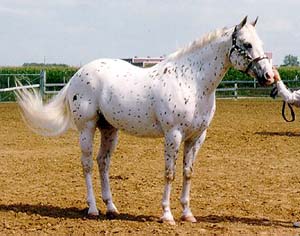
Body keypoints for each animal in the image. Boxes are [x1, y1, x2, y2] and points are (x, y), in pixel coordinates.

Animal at [15, 17, 274, 225]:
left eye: (261, 43)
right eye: (247, 44)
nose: (269, 76)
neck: (192, 81)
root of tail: (78, 74)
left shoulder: (196, 137)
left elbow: (187, 173)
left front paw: (187, 214)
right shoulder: (173, 134)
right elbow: (169, 173)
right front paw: (167, 215)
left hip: (109, 129)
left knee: (103, 163)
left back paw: (111, 208)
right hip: (86, 128)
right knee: (87, 164)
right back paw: (93, 209)